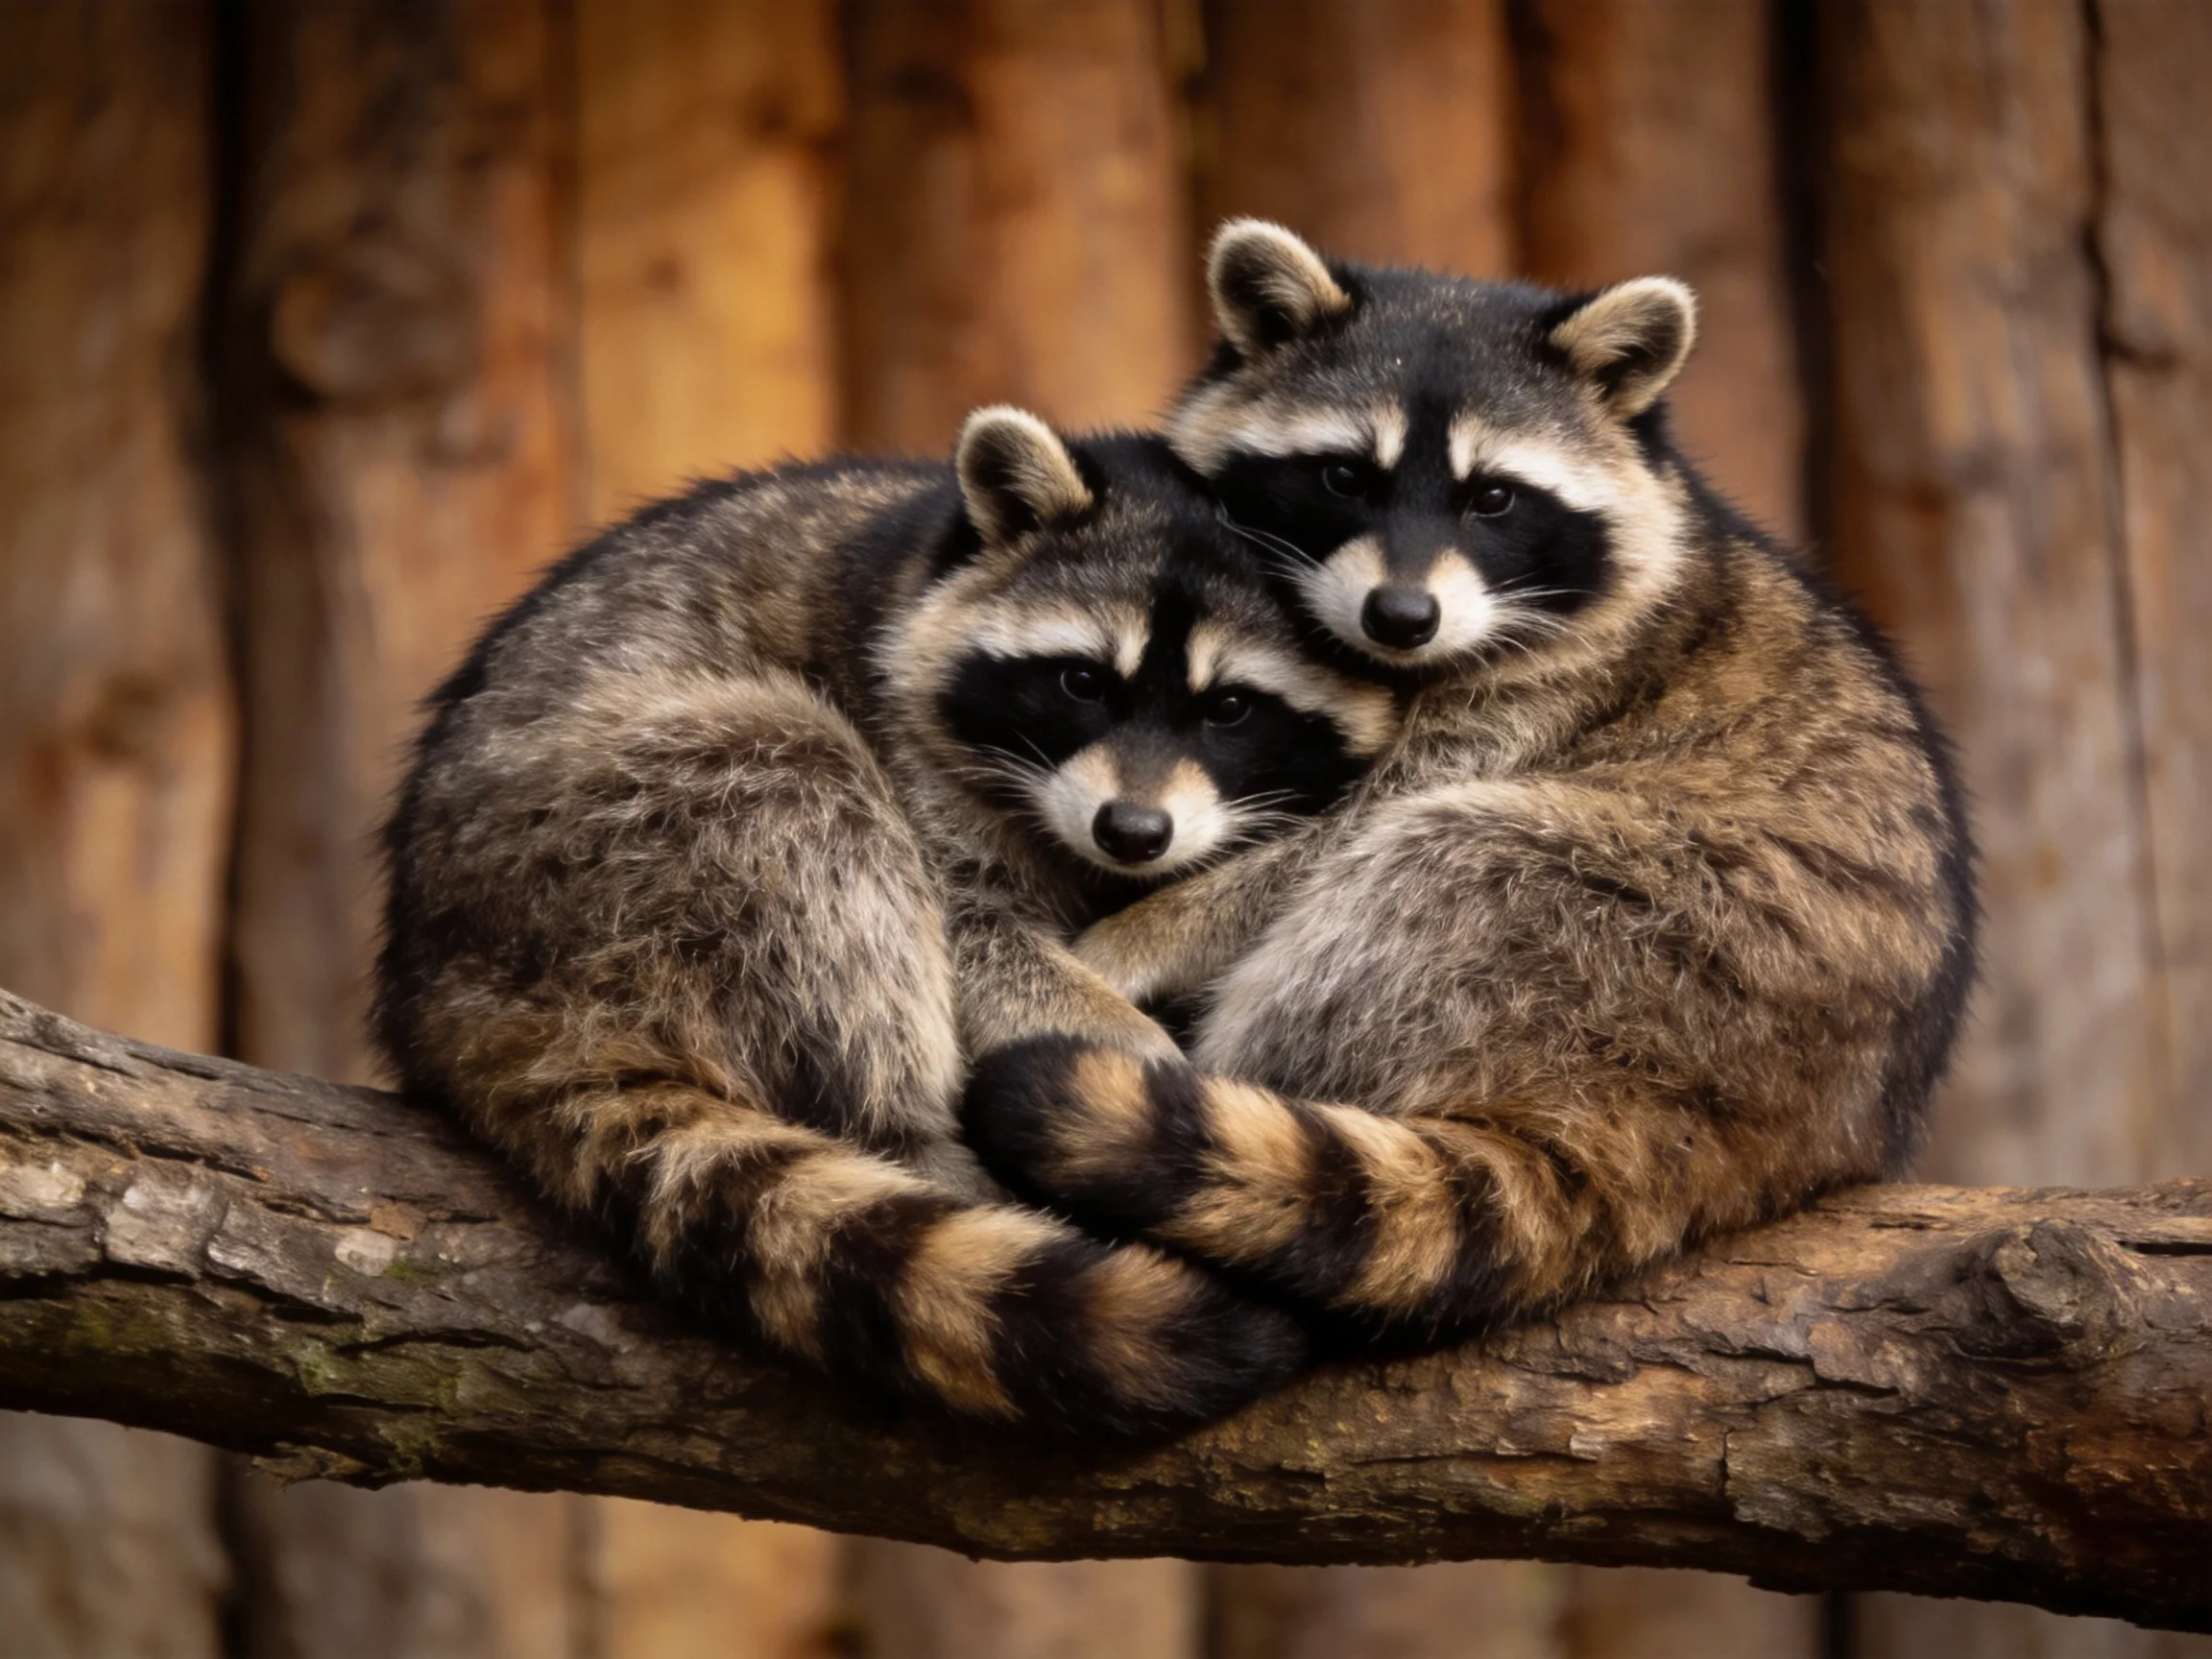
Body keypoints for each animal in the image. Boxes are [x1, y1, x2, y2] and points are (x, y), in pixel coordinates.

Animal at [372, 405, 1395, 1432]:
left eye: (1232, 708)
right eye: (1082, 683)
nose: (1134, 832)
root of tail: (448, 979)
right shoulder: (906, 735)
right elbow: (971, 936)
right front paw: (1131, 1061)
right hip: (595, 841)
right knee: (802, 794)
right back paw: (904, 1127)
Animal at [962, 223, 1977, 1344]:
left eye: (1493, 497)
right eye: (1344, 477)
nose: (1401, 616)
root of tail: (1765, 1131)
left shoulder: (1553, 692)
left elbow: (1330, 845)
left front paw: (1143, 932)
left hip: (1641, 930)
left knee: (1431, 863)